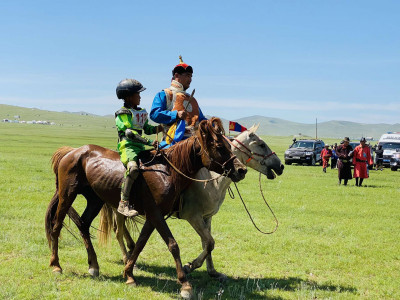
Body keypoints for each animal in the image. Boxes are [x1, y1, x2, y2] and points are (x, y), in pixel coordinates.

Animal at [46, 118, 247, 298]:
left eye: (229, 144)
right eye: (219, 146)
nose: (241, 170)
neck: (168, 171)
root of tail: (72, 152)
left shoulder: (155, 215)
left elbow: (140, 243)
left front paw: (129, 275)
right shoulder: (157, 213)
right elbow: (173, 244)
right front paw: (185, 284)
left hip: (95, 199)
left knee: (84, 224)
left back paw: (93, 266)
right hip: (67, 195)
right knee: (57, 226)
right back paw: (56, 265)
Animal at [98, 123, 282, 278]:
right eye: (261, 144)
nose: (280, 166)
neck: (212, 180)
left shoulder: (207, 217)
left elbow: (207, 243)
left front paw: (212, 271)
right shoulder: (192, 216)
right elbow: (209, 242)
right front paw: (189, 266)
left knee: (122, 231)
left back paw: (130, 253)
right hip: (118, 208)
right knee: (118, 231)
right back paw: (128, 260)